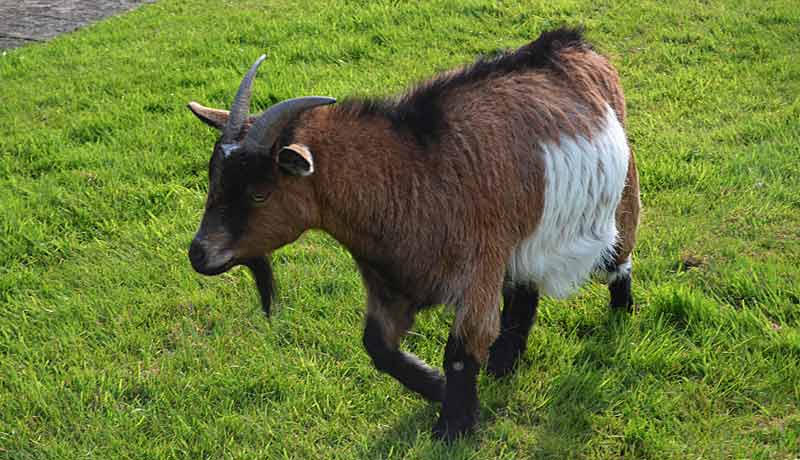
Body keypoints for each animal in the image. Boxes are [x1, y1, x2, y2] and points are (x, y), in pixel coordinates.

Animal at [186, 28, 640, 441]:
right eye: (213, 177)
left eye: (259, 192)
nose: (199, 254)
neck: (415, 178)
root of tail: (575, 45)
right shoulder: (392, 281)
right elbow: (377, 346)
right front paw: (438, 390)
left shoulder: (479, 266)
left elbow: (460, 350)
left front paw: (453, 427)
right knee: (524, 290)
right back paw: (502, 366)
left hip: (622, 197)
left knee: (618, 258)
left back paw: (621, 313)